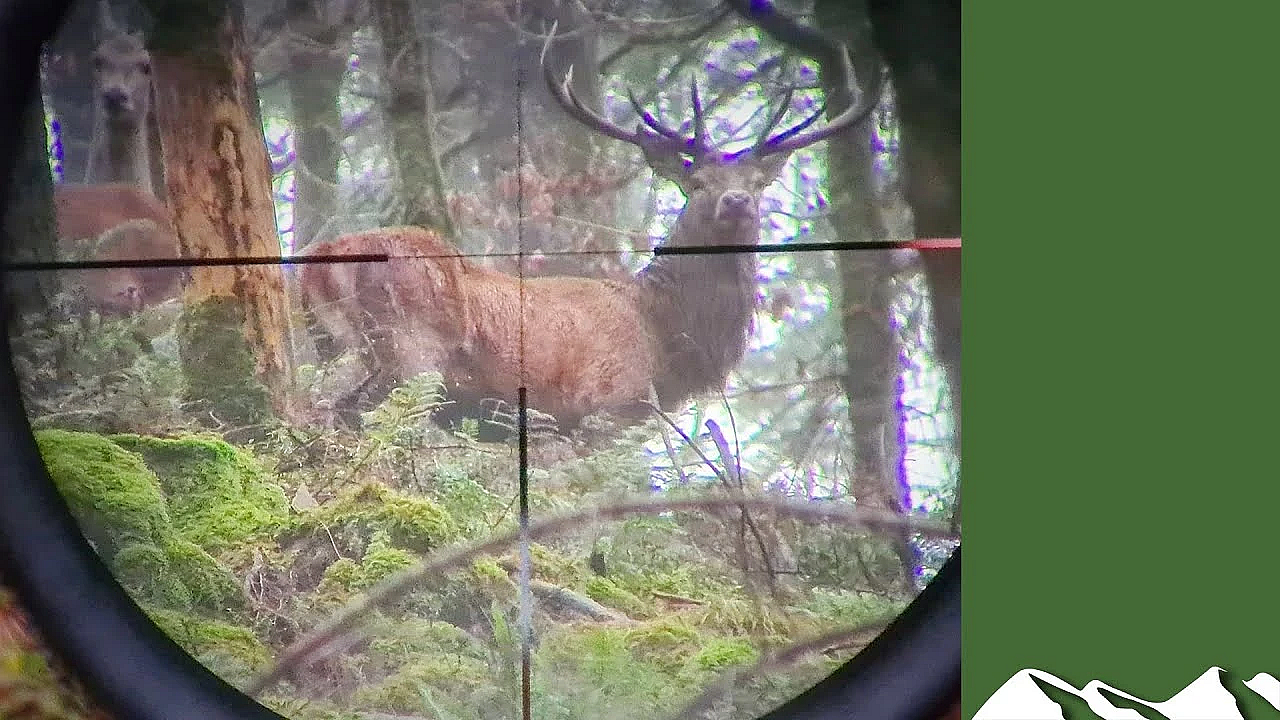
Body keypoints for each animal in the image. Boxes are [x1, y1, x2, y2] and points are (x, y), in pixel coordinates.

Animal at [296, 30, 884, 432]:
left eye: (759, 184)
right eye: (697, 183)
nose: (736, 200)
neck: (663, 338)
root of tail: (319, 260)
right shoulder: (607, 403)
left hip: (336, 345)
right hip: (409, 348)